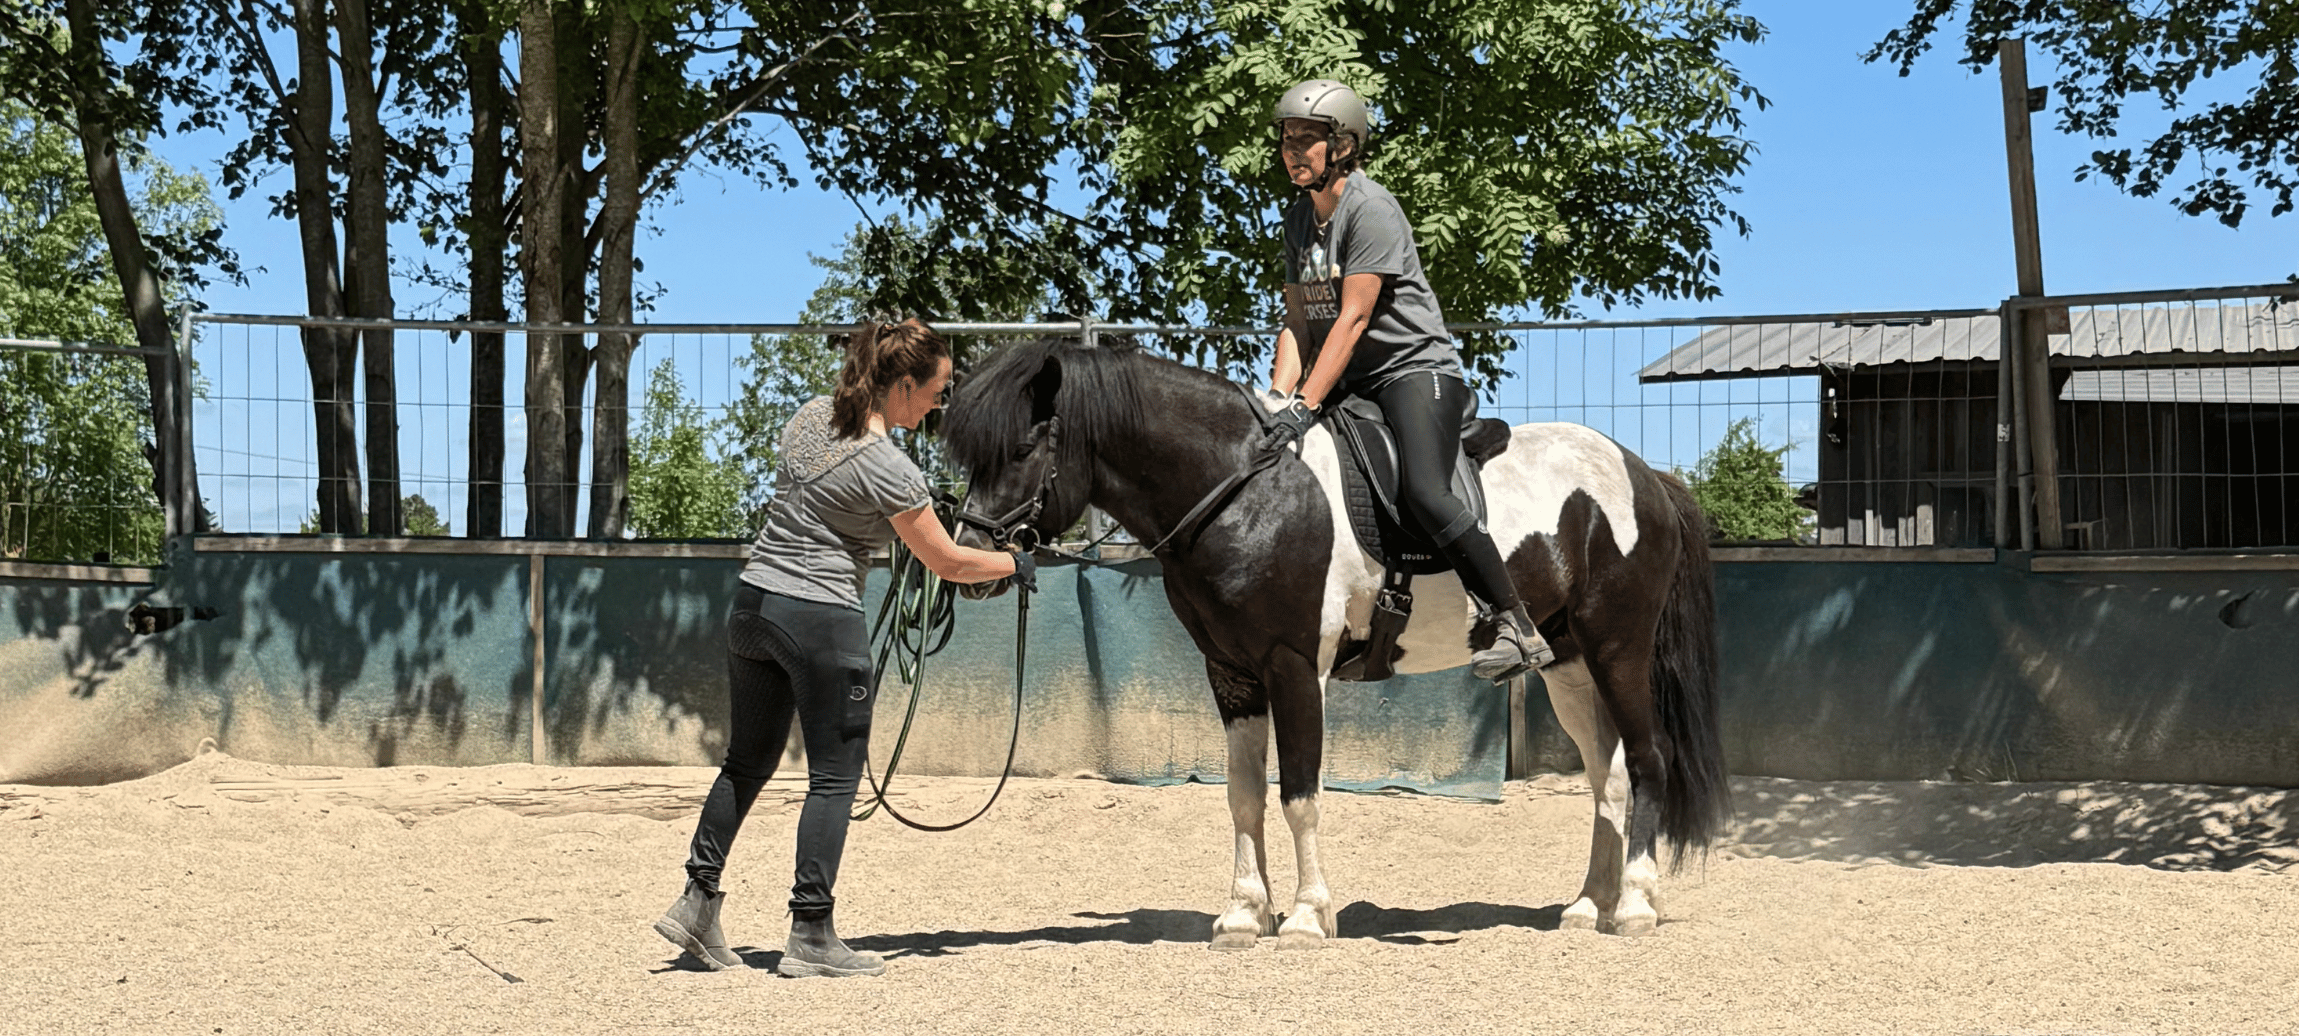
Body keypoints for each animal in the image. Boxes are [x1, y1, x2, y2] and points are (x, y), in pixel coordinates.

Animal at [941, 336, 1727, 944]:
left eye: (1021, 448)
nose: (969, 561)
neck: (1242, 491)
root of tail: (1644, 475)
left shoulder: (1293, 668)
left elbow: (1299, 793)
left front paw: (1306, 917)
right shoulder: (1231, 674)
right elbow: (1243, 796)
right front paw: (1242, 914)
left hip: (1618, 650)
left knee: (1648, 762)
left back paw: (1633, 906)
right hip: (1565, 664)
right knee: (1607, 775)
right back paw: (1588, 905)